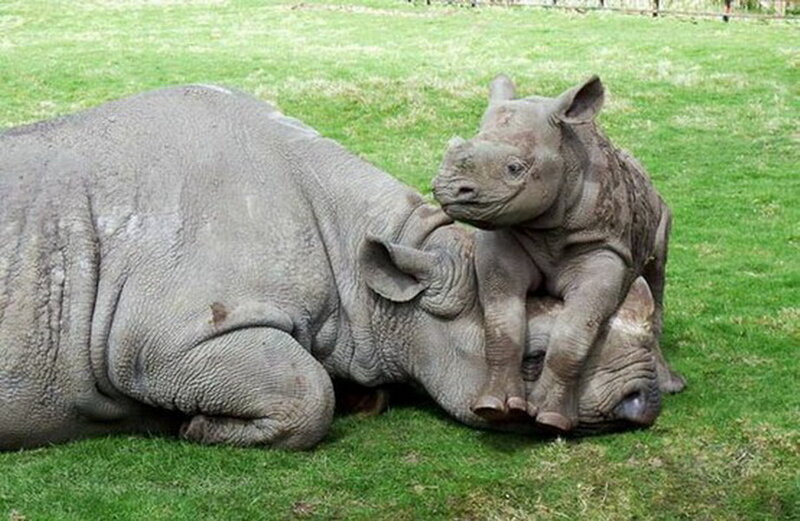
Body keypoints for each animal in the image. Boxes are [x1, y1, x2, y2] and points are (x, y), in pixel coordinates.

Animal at [433, 75, 686, 431]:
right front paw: (493, 407)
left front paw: (551, 419)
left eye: (515, 168)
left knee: (655, 275)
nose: (448, 189)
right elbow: (502, 326)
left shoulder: (603, 247)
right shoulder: (504, 237)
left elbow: (574, 331)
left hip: (661, 211)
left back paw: (672, 386)